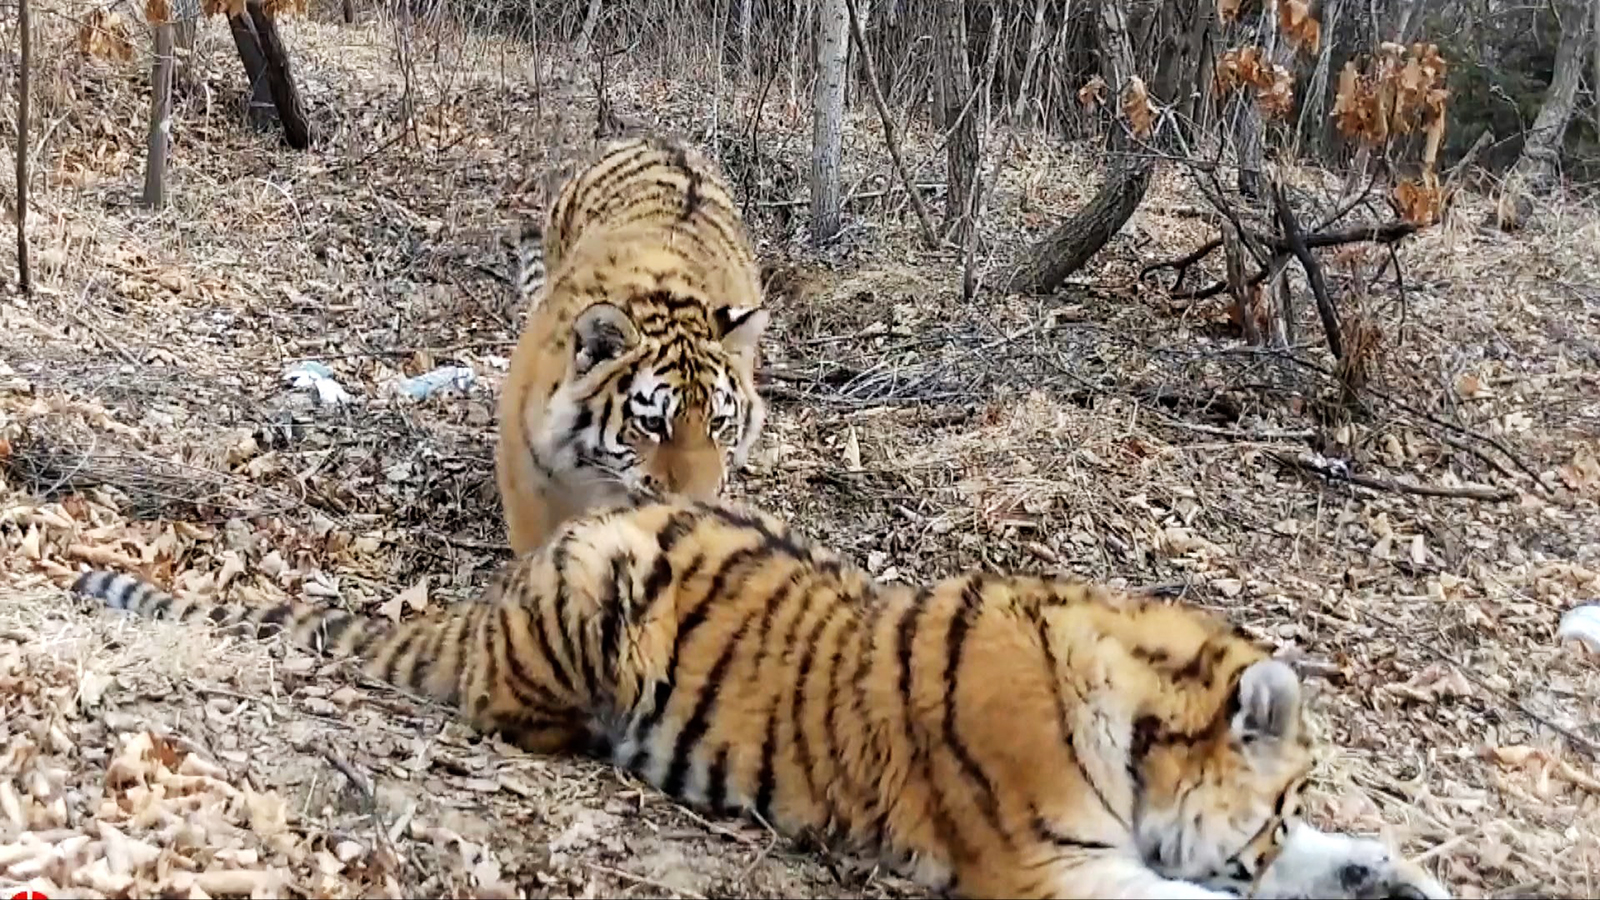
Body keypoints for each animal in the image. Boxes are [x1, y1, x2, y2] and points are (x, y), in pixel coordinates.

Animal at [70, 496, 1451, 900]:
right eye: (1283, 797)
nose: (1269, 837)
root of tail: (491, 594)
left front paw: (1392, 873)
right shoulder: (1056, 870)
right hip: (590, 596)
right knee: (501, 711)